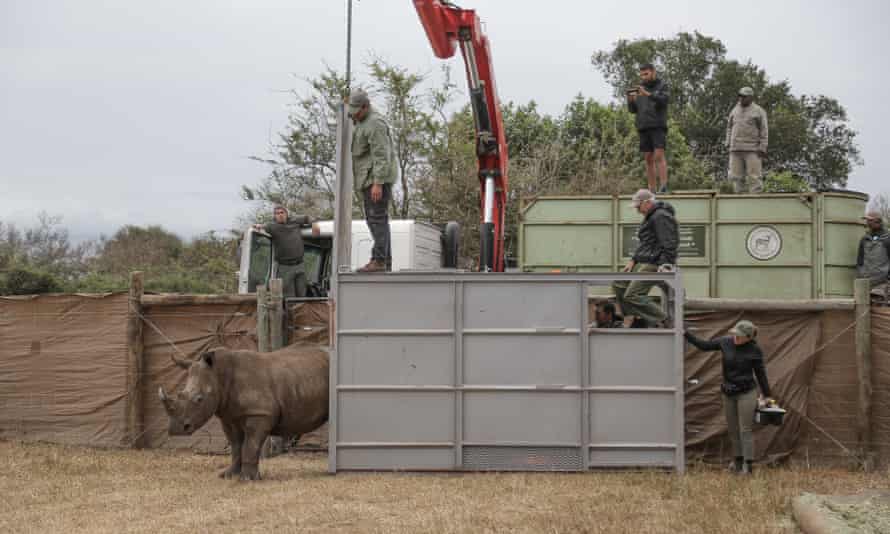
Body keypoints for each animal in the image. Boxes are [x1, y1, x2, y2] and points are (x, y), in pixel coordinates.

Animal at [158, 344, 329, 481]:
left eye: (199, 399)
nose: (176, 430)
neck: (219, 376)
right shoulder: (229, 416)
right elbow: (235, 446)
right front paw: (228, 475)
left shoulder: (260, 413)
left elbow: (250, 445)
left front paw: (247, 479)